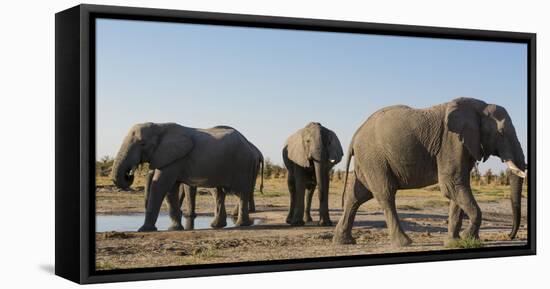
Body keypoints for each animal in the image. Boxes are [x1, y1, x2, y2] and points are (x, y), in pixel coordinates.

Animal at [111, 122, 264, 231]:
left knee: (241, 192)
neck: (160, 126)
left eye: (143, 144)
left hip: (242, 163)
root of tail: (249, 145)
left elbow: (160, 185)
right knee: (221, 192)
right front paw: (174, 229)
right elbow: (170, 190)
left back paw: (241, 225)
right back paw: (217, 226)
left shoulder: (175, 159)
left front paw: (144, 230)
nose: (129, 173)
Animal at [334, 98, 528, 245]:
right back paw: (404, 243)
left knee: (358, 195)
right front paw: (467, 238)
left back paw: (344, 241)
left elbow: (457, 187)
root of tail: (355, 134)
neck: (479, 106)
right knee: (385, 193)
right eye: (501, 133)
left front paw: (454, 241)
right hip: (374, 158)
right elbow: (451, 185)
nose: (510, 236)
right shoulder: (451, 141)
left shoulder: (463, 145)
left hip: (368, 160)